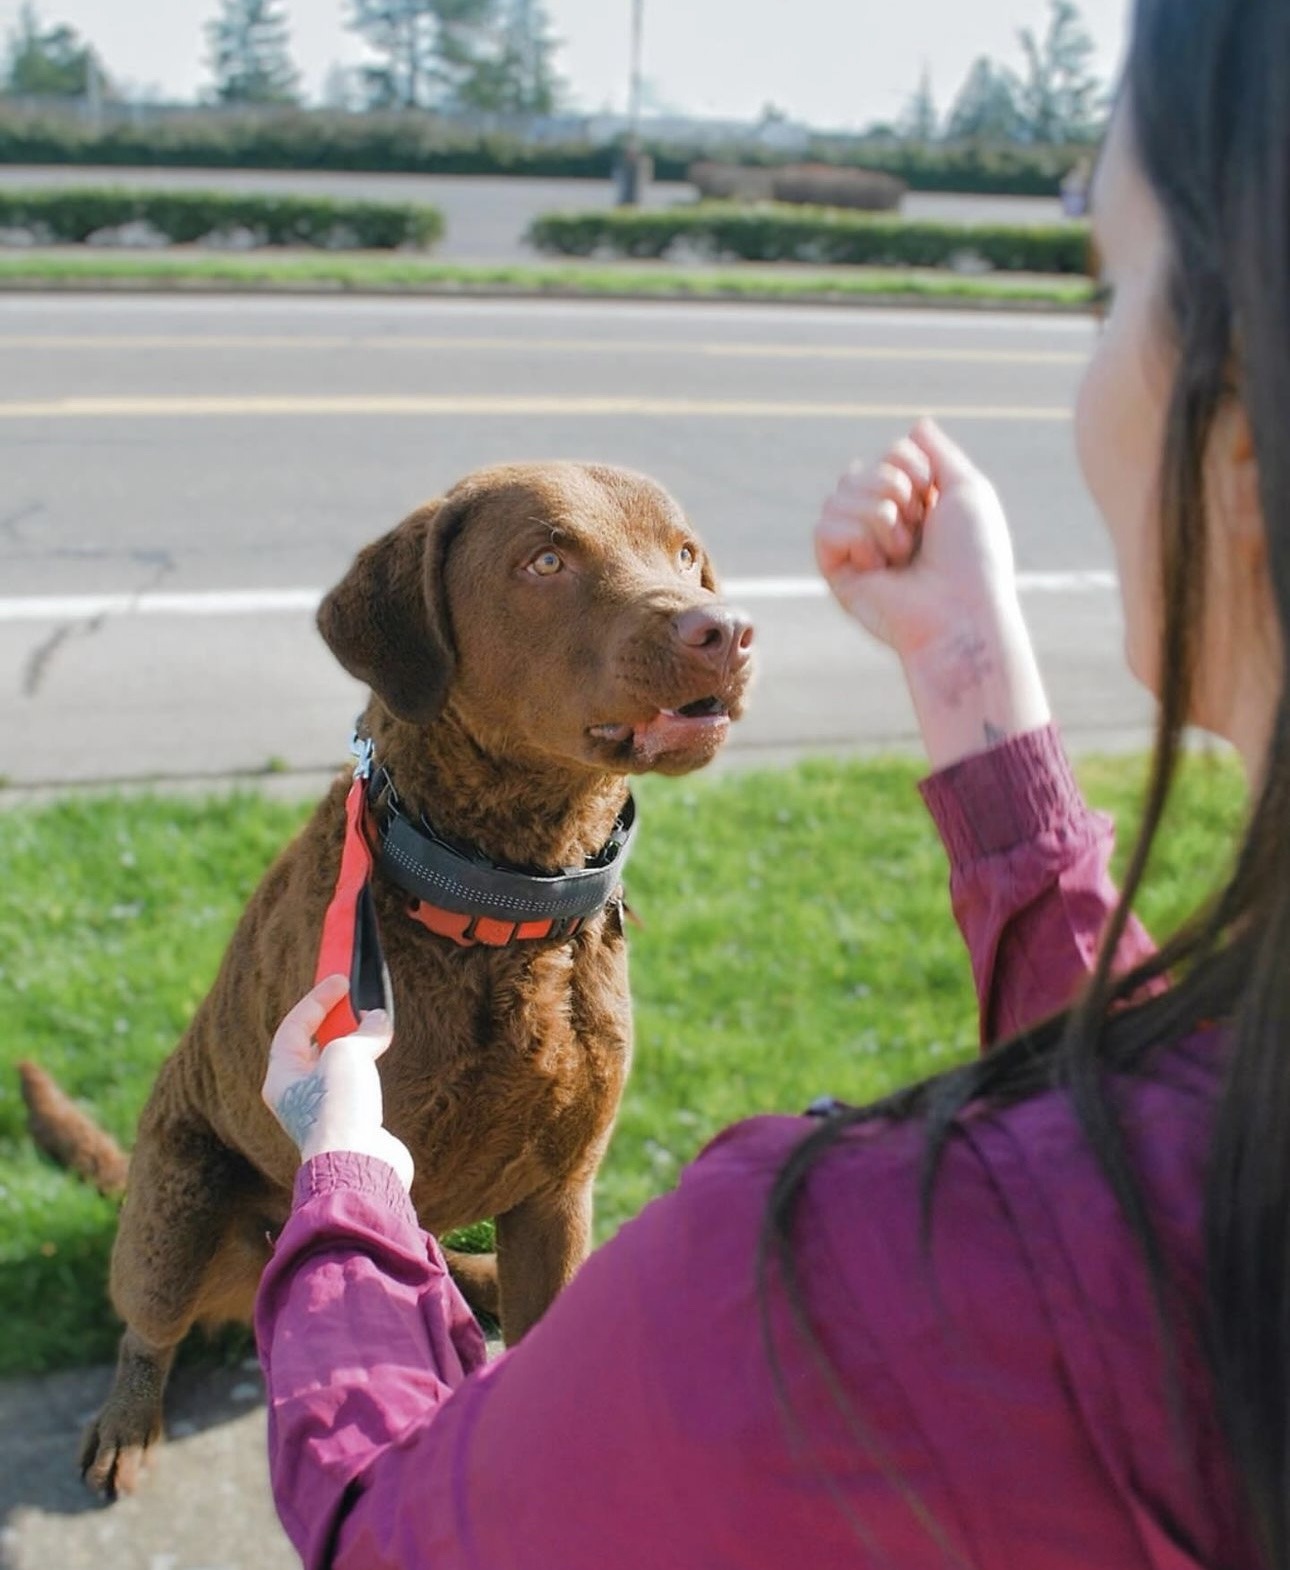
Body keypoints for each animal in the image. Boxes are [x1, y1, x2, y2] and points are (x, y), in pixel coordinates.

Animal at [20, 461, 753, 1494]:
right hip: (179, 1197)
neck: (504, 914)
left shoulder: (562, 1193)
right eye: (547, 560)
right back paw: (127, 1424)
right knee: (146, 1324)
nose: (723, 629)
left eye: (685, 554)